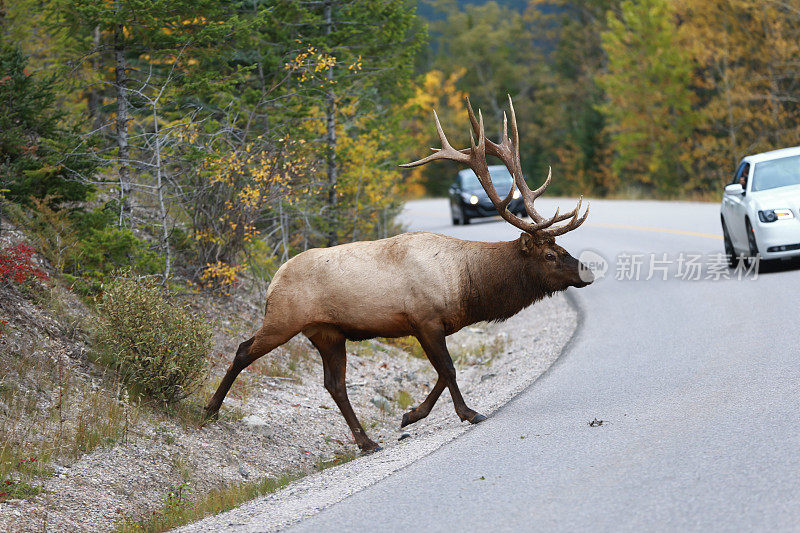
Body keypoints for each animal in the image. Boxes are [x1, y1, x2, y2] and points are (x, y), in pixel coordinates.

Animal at [205, 96, 592, 454]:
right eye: (550, 254)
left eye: (561, 247)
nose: (585, 271)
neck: (467, 286)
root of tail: (273, 280)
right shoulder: (424, 318)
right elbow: (448, 369)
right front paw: (468, 413)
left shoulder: (430, 325)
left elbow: (441, 372)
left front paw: (410, 414)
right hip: (284, 319)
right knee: (243, 350)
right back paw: (210, 409)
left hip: (326, 332)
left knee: (334, 384)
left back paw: (367, 441)